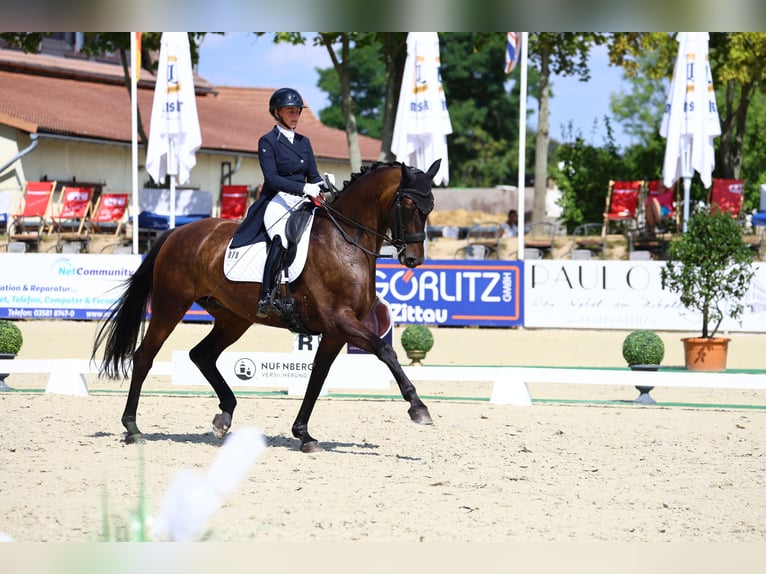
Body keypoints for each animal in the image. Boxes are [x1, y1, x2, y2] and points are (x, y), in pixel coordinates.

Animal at [93, 160, 440, 452]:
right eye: (408, 205)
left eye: (430, 207)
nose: (414, 259)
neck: (346, 242)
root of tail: (177, 231)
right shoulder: (340, 321)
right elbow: (385, 350)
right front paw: (418, 407)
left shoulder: (335, 332)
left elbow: (317, 378)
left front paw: (303, 434)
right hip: (171, 305)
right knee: (144, 357)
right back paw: (133, 428)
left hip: (233, 318)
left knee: (201, 355)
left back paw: (224, 416)